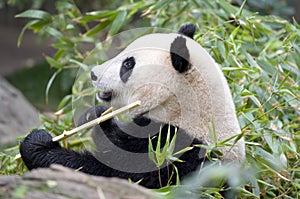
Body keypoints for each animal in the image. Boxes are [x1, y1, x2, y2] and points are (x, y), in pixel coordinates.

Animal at [18, 22, 245, 188]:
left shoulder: (174, 151)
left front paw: (37, 143)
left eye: (128, 64)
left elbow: (110, 174)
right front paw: (93, 116)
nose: (93, 74)